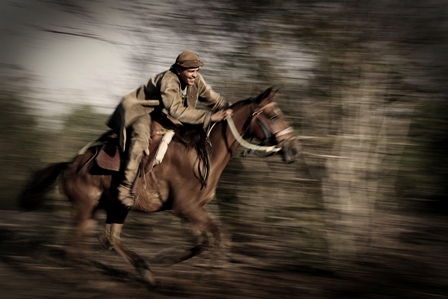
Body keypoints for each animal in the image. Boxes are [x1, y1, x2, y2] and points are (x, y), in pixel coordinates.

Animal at [21, 86, 300, 286]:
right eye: (273, 115)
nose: (293, 150)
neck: (202, 155)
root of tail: (69, 165)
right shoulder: (186, 208)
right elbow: (220, 235)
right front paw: (211, 272)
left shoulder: (190, 211)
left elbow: (204, 241)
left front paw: (165, 259)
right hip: (85, 209)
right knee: (75, 250)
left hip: (116, 207)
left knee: (108, 238)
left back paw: (145, 271)